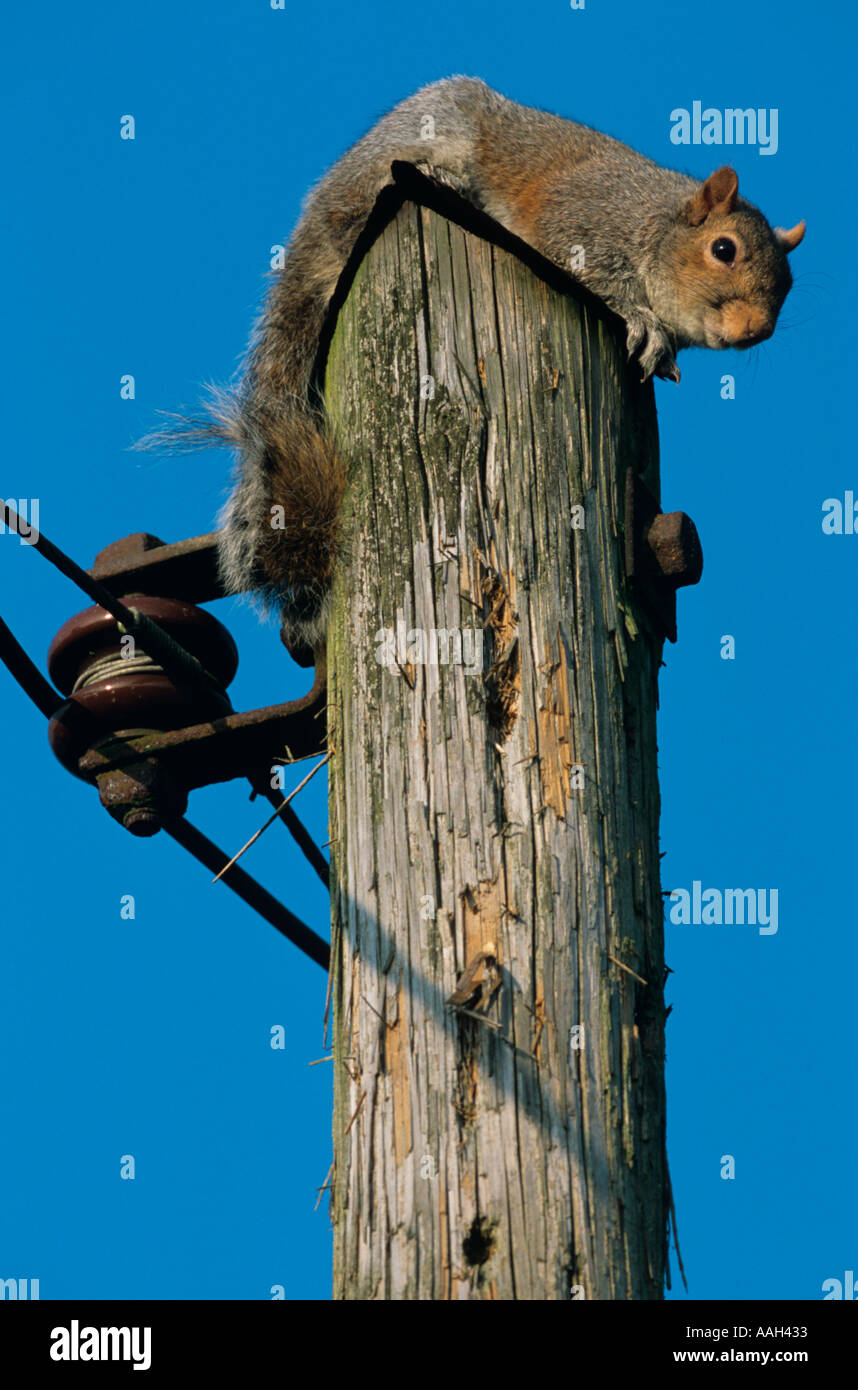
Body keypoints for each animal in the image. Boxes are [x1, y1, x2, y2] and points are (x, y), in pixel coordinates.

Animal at [158, 77, 805, 651]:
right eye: (723, 249)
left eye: (789, 285)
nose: (757, 331)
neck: (652, 221)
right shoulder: (580, 221)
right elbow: (597, 276)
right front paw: (641, 323)